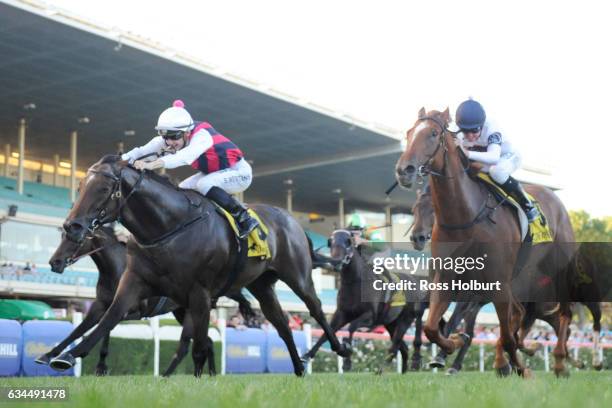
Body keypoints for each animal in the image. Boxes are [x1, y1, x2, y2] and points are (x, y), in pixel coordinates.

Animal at [38, 226, 253, 376]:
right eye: (62, 236)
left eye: (77, 239)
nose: (54, 262)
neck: (115, 269)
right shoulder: (100, 305)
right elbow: (79, 330)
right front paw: (49, 355)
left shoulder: (132, 311)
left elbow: (104, 328)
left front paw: (100, 366)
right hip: (182, 311)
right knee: (206, 341)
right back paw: (204, 373)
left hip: (194, 309)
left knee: (189, 344)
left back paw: (172, 375)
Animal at [302, 230, 430, 372]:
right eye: (330, 242)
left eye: (348, 242)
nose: (336, 262)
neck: (355, 282)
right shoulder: (341, 314)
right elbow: (327, 333)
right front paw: (308, 355)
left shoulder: (370, 316)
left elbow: (351, 327)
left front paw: (347, 359)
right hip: (391, 324)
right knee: (403, 348)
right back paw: (401, 371)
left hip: (405, 319)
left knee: (396, 345)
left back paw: (384, 369)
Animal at [394, 107, 576, 376]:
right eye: (408, 133)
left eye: (433, 133)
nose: (404, 170)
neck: (464, 216)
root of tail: (555, 199)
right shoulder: (446, 278)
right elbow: (432, 327)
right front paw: (451, 345)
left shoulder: (490, 283)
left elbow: (503, 334)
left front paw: (520, 368)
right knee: (523, 314)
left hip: (558, 269)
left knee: (563, 313)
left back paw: (560, 361)